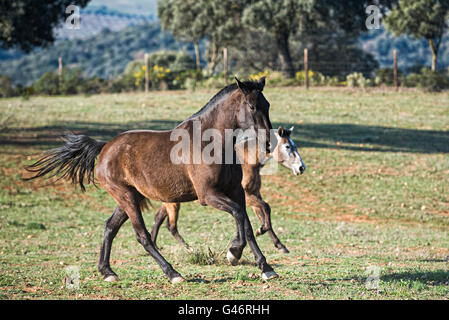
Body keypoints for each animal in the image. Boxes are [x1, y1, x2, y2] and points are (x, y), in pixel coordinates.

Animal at [24, 77, 278, 282]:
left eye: (267, 105)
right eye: (252, 106)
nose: (269, 144)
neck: (210, 142)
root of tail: (104, 147)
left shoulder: (235, 191)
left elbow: (246, 223)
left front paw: (265, 268)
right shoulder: (208, 196)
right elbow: (239, 215)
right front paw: (234, 252)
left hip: (128, 197)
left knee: (110, 227)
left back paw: (107, 272)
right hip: (126, 197)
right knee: (143, 236)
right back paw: (173, 274)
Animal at [150, 126, 304, 254]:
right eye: (287, 146)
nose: (301, 167)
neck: (247, 161)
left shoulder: (253, 194)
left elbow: (264, 214)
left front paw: (279, 245)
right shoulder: (248, 196)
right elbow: (266, 207)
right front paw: (261, 230)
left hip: (171, 201)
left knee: (160, 219)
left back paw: (156, 245)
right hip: (173, 202)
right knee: (171, 225)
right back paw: (187, 248)